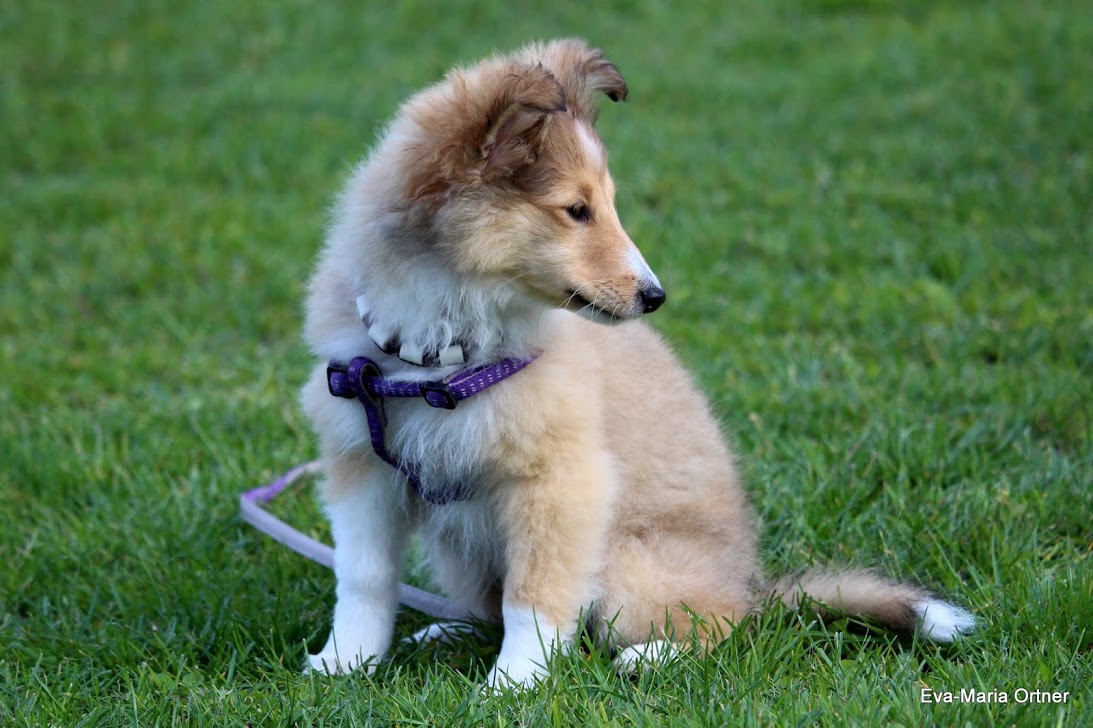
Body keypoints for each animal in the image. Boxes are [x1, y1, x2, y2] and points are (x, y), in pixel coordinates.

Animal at [299, 38, 975, 687]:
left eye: (605, 204)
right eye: (576, 210)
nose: (656, 296)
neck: (443, 356)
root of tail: (752, 586)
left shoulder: (561, 481)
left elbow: (535, 595)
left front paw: (513, 684)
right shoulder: (363, 467)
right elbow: (363, 581)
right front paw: (345, 663)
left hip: (633, 564)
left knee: (722, 626)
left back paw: (649, 658)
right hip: (462, 550)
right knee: (485, 607)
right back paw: (445, 632)